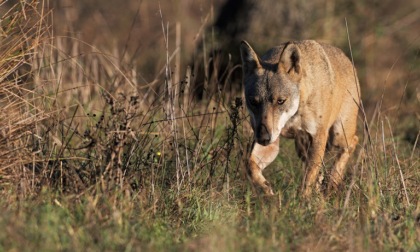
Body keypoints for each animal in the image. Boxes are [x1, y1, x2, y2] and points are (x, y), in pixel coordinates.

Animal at [240, 39, 360, 197]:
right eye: (253, 102)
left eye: (280, 101)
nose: (263, 138)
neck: (293, 116)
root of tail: (347, 59)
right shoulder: (272, 141)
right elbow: (249, 165)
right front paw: (268, 192)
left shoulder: (318, 137)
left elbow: (308, 178)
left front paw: (303, 201)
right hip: (301, 147)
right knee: (320, 171)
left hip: (338, 136)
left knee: (352, 142)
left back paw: (332, 183)